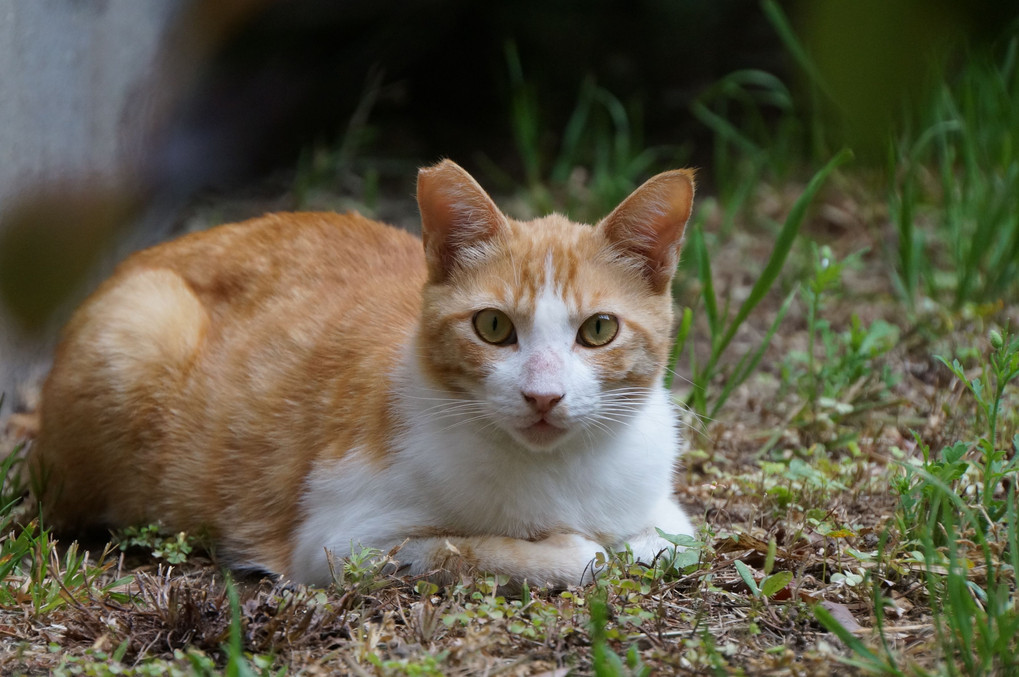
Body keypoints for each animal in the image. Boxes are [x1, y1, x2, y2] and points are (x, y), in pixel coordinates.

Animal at [27, 159, 696, 587]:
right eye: (494, 327)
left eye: (599, 330)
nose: (543, 396)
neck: (559, 474)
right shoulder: (339, 542)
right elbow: (477, 549)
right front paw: (569, 550)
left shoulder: (668, 517)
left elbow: (665, 541)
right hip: (142, 326)